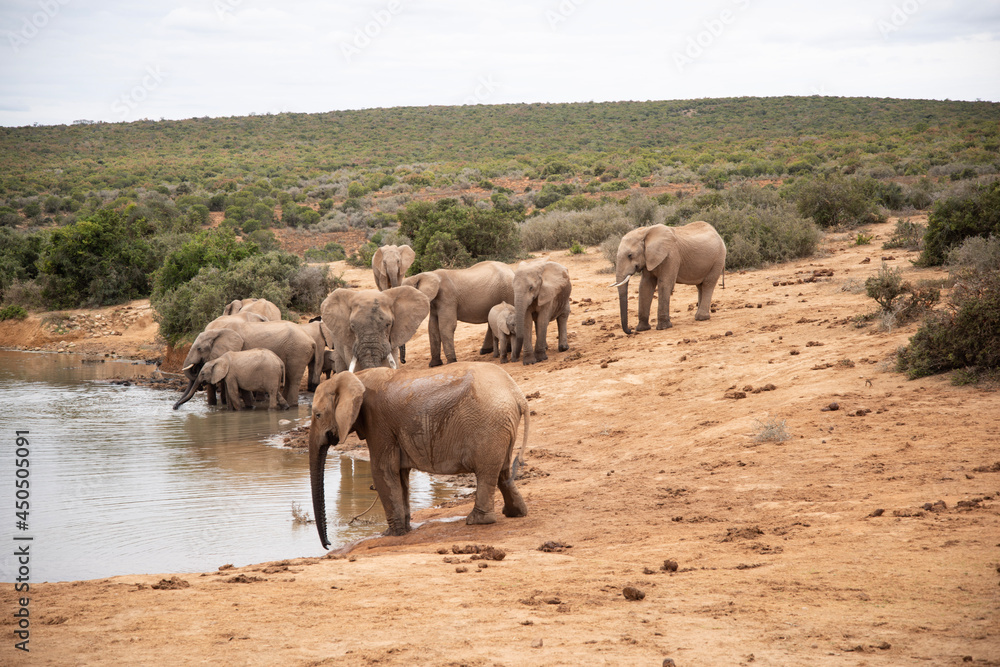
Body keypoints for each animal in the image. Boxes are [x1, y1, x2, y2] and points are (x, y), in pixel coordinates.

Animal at [173, 320, 315, 409]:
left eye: (199, 349)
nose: (174, 407)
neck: (219, 330)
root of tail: (311, 339)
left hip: (297, 351)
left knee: (293, 378)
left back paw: (292, 405)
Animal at [308, 362, 529, 546]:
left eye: (317, 415)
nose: (328, 545)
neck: (355, 377)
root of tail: (518, 395)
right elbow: (400, 474)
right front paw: (405, 529)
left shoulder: (378, 422)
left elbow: (382, 471)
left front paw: (392, 534)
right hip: (500, 426)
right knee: (502, 471)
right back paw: (515, 513)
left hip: (488, 425)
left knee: (486, 472)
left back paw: (477, 521)